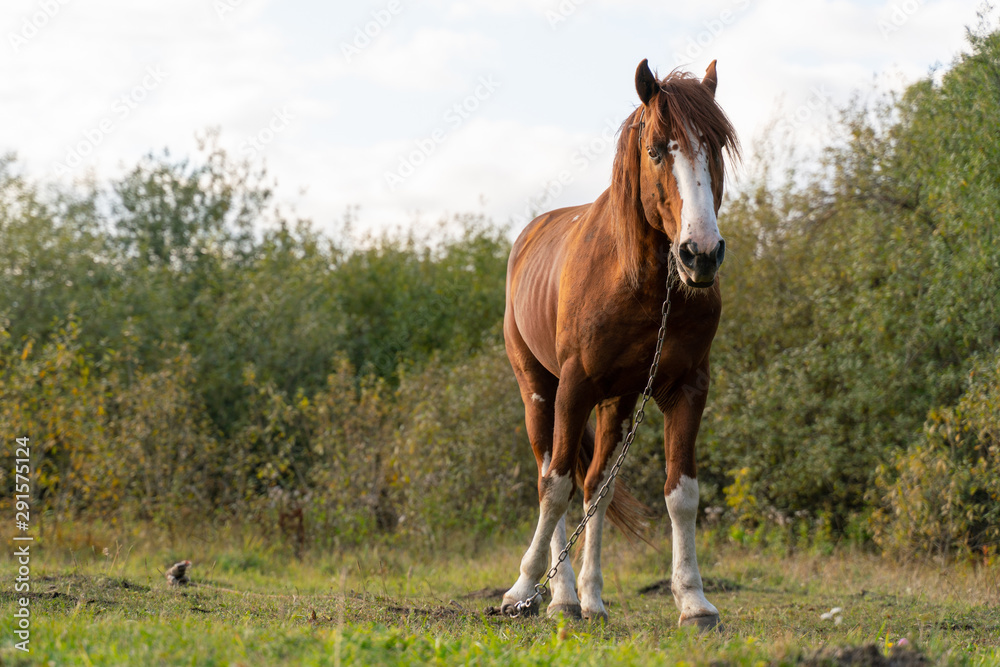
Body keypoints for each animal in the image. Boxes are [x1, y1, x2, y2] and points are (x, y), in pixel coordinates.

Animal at [504, 58, 740, 632]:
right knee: (552, 476)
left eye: (717, 146)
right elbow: (555, 488)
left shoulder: (686, 390)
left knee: (596, 487)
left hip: (617, 401)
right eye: (655, 149)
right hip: (539, 392)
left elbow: (681, 493)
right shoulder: (573, 389)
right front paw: (525, 589)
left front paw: (694, 602)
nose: (701, 253)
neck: (645, 286)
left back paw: (589, 598)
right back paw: (559, 596)